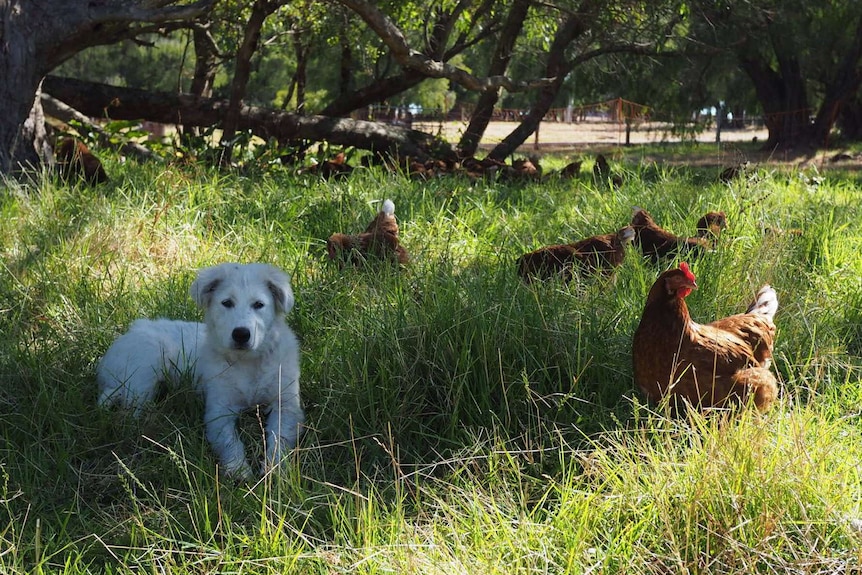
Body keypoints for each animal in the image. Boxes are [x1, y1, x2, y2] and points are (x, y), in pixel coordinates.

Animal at [98, 264, 306, 480]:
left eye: (259, 304)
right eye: (227, 303)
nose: (241, 334)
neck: (247, 362)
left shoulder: (286, 405)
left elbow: (279, 439)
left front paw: (275, 471)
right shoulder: (219, 410)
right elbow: (230, 442)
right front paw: (239, 471)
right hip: (144, 371)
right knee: (129, 414)